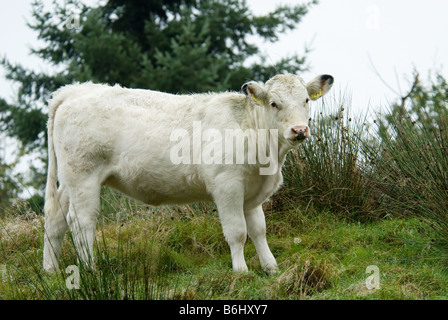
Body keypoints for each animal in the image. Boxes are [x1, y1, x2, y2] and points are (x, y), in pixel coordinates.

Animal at [43, 74, 334, 274]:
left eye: (305, 100)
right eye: (274, 104)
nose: (299, 130)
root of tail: (75, 90)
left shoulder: (253, 192)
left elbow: (259, 230)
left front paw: (270, 267)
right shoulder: (227, 186)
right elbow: (238, 231)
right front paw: (241, 271)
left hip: (69, 181)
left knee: (56, 218)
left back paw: (51, 270)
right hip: (83, 177)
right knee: (81, 222)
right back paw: (91, 270)